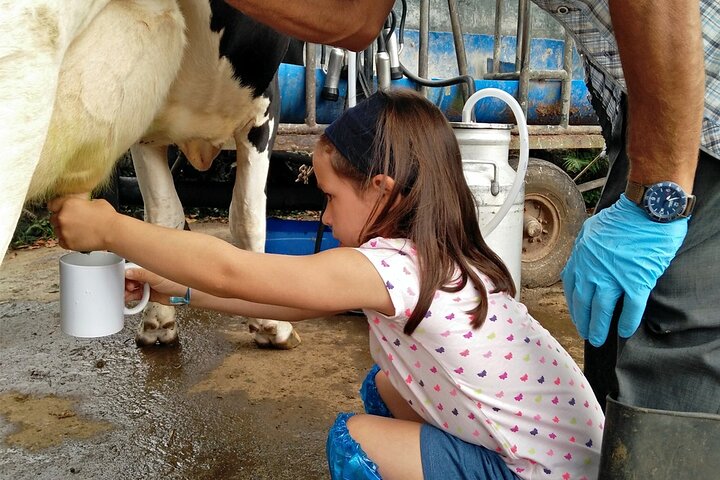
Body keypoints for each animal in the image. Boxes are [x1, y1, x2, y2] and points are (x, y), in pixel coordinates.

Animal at [0, 1, 300, 350]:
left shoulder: (263, 111)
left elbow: (247, 216)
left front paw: (269, 323)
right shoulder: (147, 131)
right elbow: (164, 216)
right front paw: (159, 319)